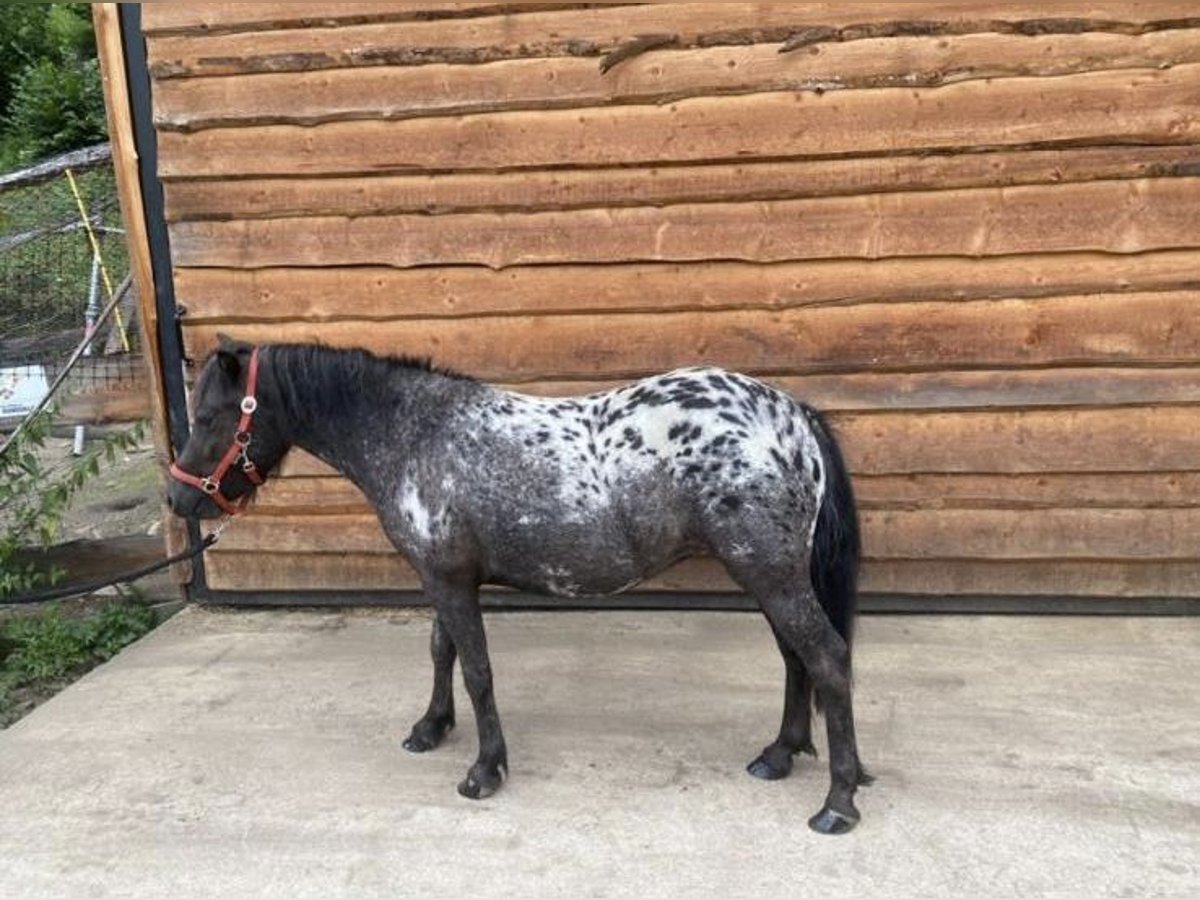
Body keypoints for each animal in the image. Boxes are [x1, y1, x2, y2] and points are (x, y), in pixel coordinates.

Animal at [166, 338, 873, 840]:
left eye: (210, 416)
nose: (178, 499)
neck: (414, 432)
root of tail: (793, 415)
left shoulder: (451, 580)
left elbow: (476, 669)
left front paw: (484, 769)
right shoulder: (440, 576)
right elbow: (442, 652)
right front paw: (430, 728)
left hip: (770, 572)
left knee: (827, 659)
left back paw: (837, 803)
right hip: (767, 573)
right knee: (795, 658)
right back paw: (779, 755)